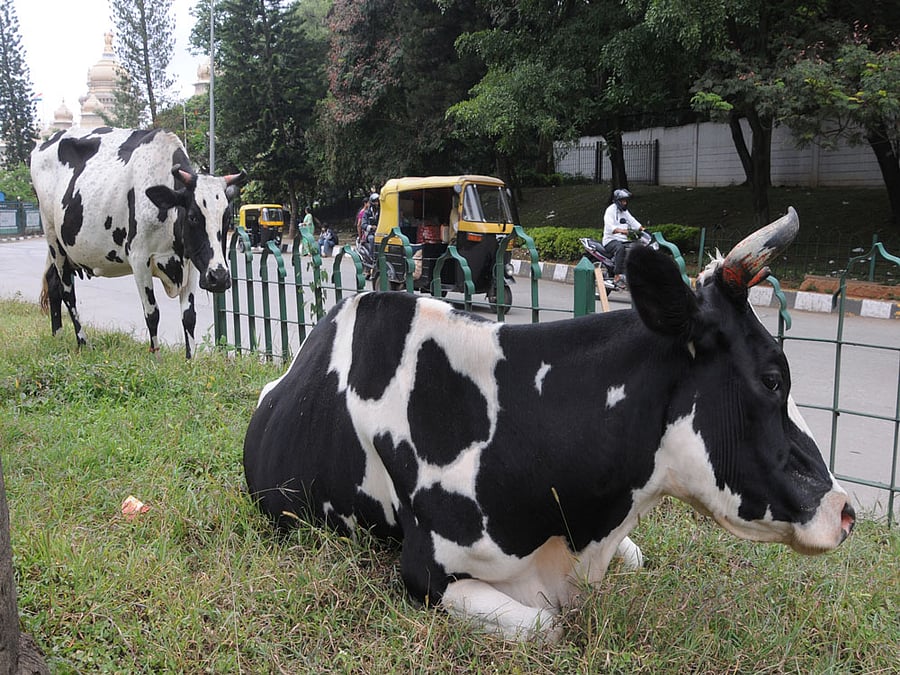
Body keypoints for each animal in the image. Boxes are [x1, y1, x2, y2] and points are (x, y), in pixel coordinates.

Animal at [30, 127, 245, 358]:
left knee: (53, 283)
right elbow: (152, 313)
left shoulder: (192, 262)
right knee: (67, 293)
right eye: (193, 217)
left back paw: (58, 336)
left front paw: (191, 360)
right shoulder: (139, 259)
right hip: (53, 238)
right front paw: (156, 358)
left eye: (227, 218)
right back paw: (83, 342)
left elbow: (189, 316)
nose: (219, 277)